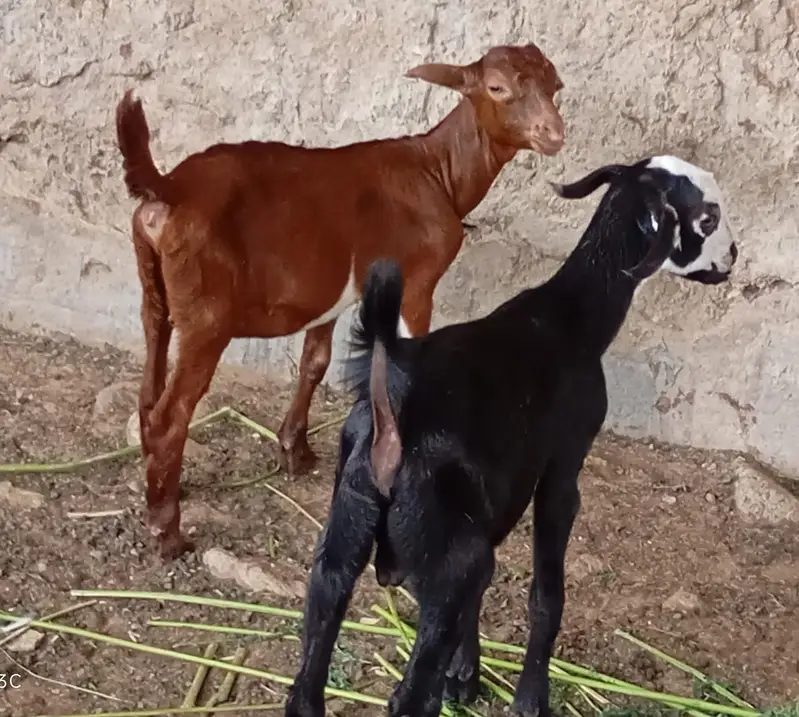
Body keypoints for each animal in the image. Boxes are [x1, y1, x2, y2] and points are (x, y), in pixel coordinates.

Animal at [115, 43, 565, 560]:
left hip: (154, 291)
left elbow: (315, 360)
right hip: (207, 317)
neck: (437, 171)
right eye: (497, 87)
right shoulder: (418, 281)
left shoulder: (332, 293)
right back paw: (168, 532)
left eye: (556, 86)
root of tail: (168, 188)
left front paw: (296, 451)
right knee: (172, 414)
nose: (554, 134)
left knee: (149, 385)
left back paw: (160, 489)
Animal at [285, 155, 739, 717]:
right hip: (450, 552)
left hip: (346, 533)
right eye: (707, 217)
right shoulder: (563, 469)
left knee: (311, 671)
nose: (734, 257)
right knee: (411, 694)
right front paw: (529, 697)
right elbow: (546, 593)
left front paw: (464, 677)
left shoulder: (492, 499)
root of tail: (393, 420)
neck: (571, 316)